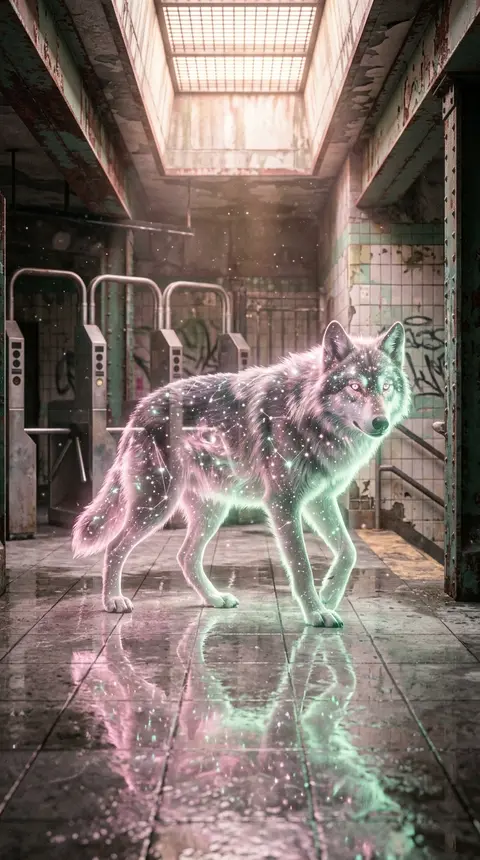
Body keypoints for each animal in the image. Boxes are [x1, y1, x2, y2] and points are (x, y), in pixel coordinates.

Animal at [72, 320, 410, 628]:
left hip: (211, 511)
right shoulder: (284, 503)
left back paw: (214, 599)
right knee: (115, 546)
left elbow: (349, 552)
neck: (310, 415)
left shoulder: (319, 500)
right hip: (157, 506)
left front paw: (328, 594)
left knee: (185, 556)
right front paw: (316, 613)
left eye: (386, 387)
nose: (381, 423)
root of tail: (140, 409)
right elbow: (301, 565)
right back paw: (113, 601)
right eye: (355, 386)